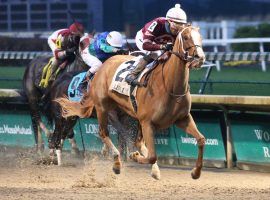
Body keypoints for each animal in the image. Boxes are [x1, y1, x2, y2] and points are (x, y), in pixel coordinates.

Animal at [56, 25, 205, 180]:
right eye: (186, 37)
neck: (169, 86)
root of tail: (103, 66)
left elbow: (201, 140)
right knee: (103, 133)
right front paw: (134, 156)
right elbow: (152, 155)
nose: (199, 58)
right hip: (102, 107)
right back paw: (117, 163)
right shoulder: (147, 122)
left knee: (136, 141)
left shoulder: (182, 118)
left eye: (200, 37)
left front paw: (196, 172)